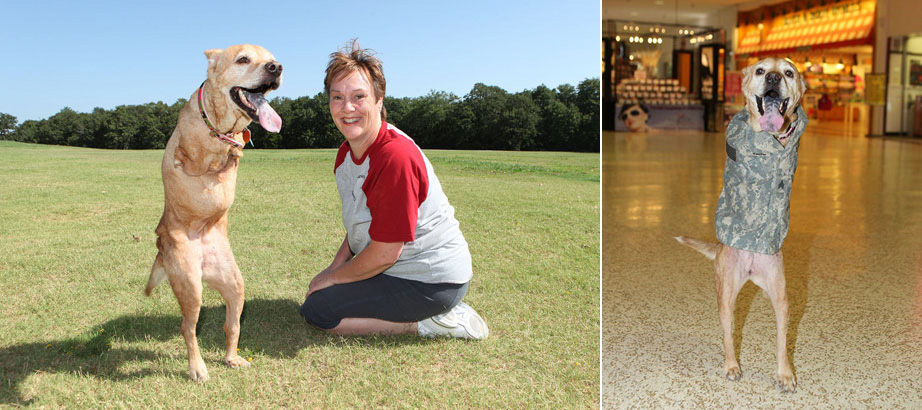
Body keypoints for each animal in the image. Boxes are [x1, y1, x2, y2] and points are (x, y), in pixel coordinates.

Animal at [142, 44, 280, 382]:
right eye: (243, 59)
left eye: (270, 58)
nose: (276, 67)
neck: (220, 125)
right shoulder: (189, 157)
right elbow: (198, 158)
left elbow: (234, 150)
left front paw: (233, 150)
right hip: (191, 287)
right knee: (187, 328)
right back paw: (197, 367)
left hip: (234, 285)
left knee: (232, 325)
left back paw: (232, 358)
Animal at [676, 57, 804, 394]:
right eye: (760, 70)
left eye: (789, 72)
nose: (773, 77)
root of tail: (750, 270)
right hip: (726, 296)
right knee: (728, 336)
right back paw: (732, 365)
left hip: (781, 298)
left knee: (782, 341)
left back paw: (785, 373)